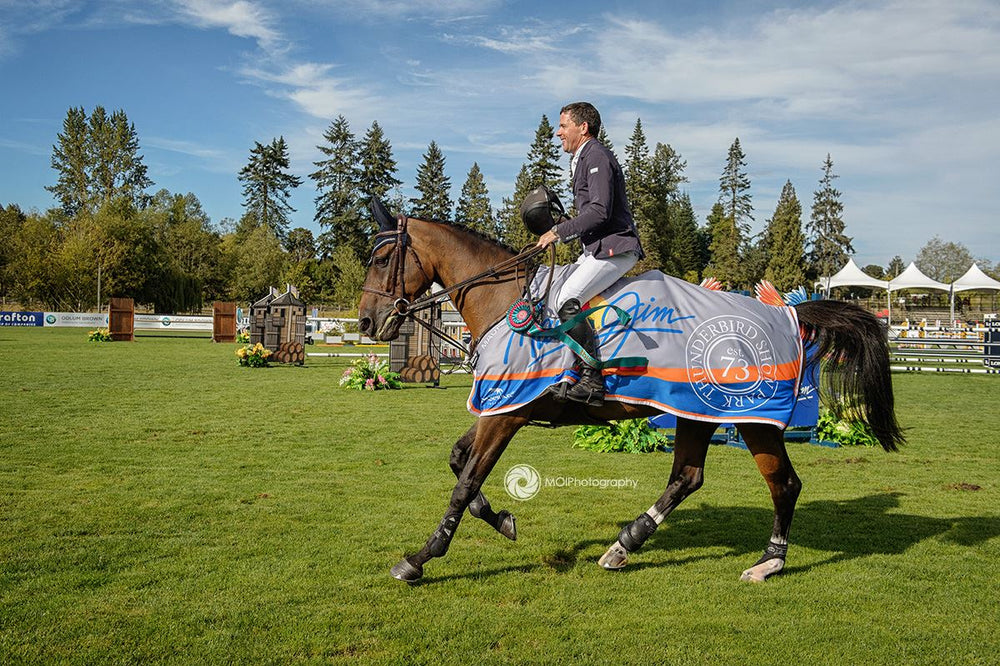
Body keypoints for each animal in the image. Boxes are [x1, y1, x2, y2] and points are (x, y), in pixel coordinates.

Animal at [357, 205, 904, 584]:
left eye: (382, 258)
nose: (365, 323)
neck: (505, 301)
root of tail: (787, 313)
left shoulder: (505, 415)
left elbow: (465, 483)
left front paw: (419, 559)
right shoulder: (501, 406)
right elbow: (459, 462)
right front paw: (504, 520)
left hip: (752, 420)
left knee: (783, 485)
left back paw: (767, 563)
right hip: (694, 413)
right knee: (687, 477)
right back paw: (625, 545)